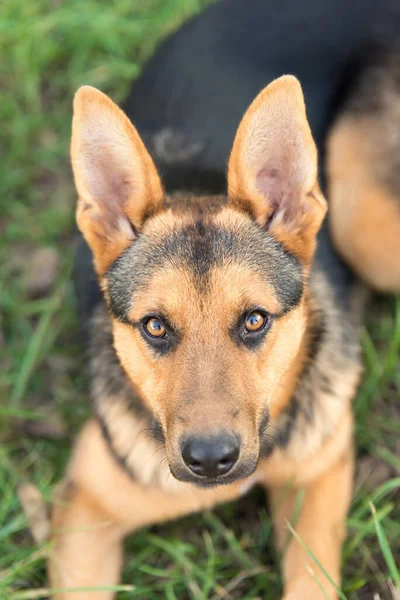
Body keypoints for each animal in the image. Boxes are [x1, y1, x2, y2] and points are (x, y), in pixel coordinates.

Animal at [48, 0, 400, 596]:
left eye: (255, 321)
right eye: (155, 327)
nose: (211, 462)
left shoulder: (320, 470)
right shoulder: (85, 510)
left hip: (364, 225)